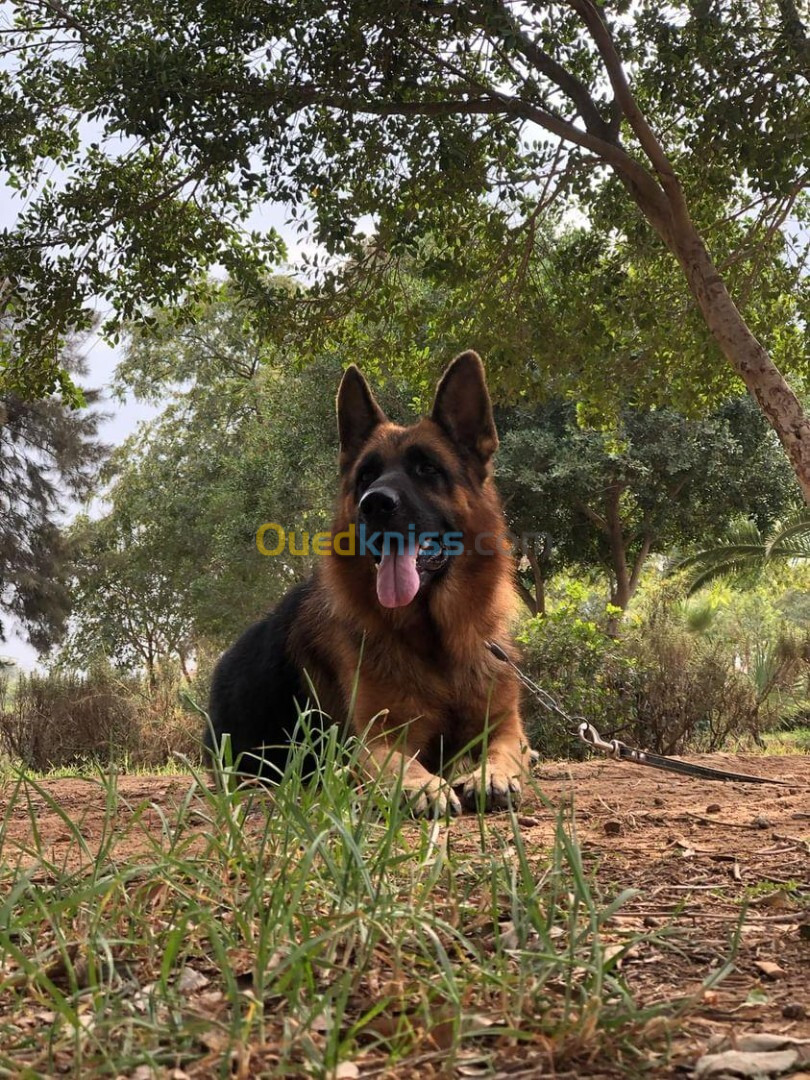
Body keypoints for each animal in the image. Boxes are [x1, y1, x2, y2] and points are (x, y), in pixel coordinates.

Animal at [206, 349, 529, 812]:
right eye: (365, 476)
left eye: (427, 468)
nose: (373, 504)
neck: (437, 644)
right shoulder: (377, 739)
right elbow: (396, 764)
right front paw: (422, 786)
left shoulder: (505, 726)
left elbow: (508, 749)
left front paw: (494, 774)